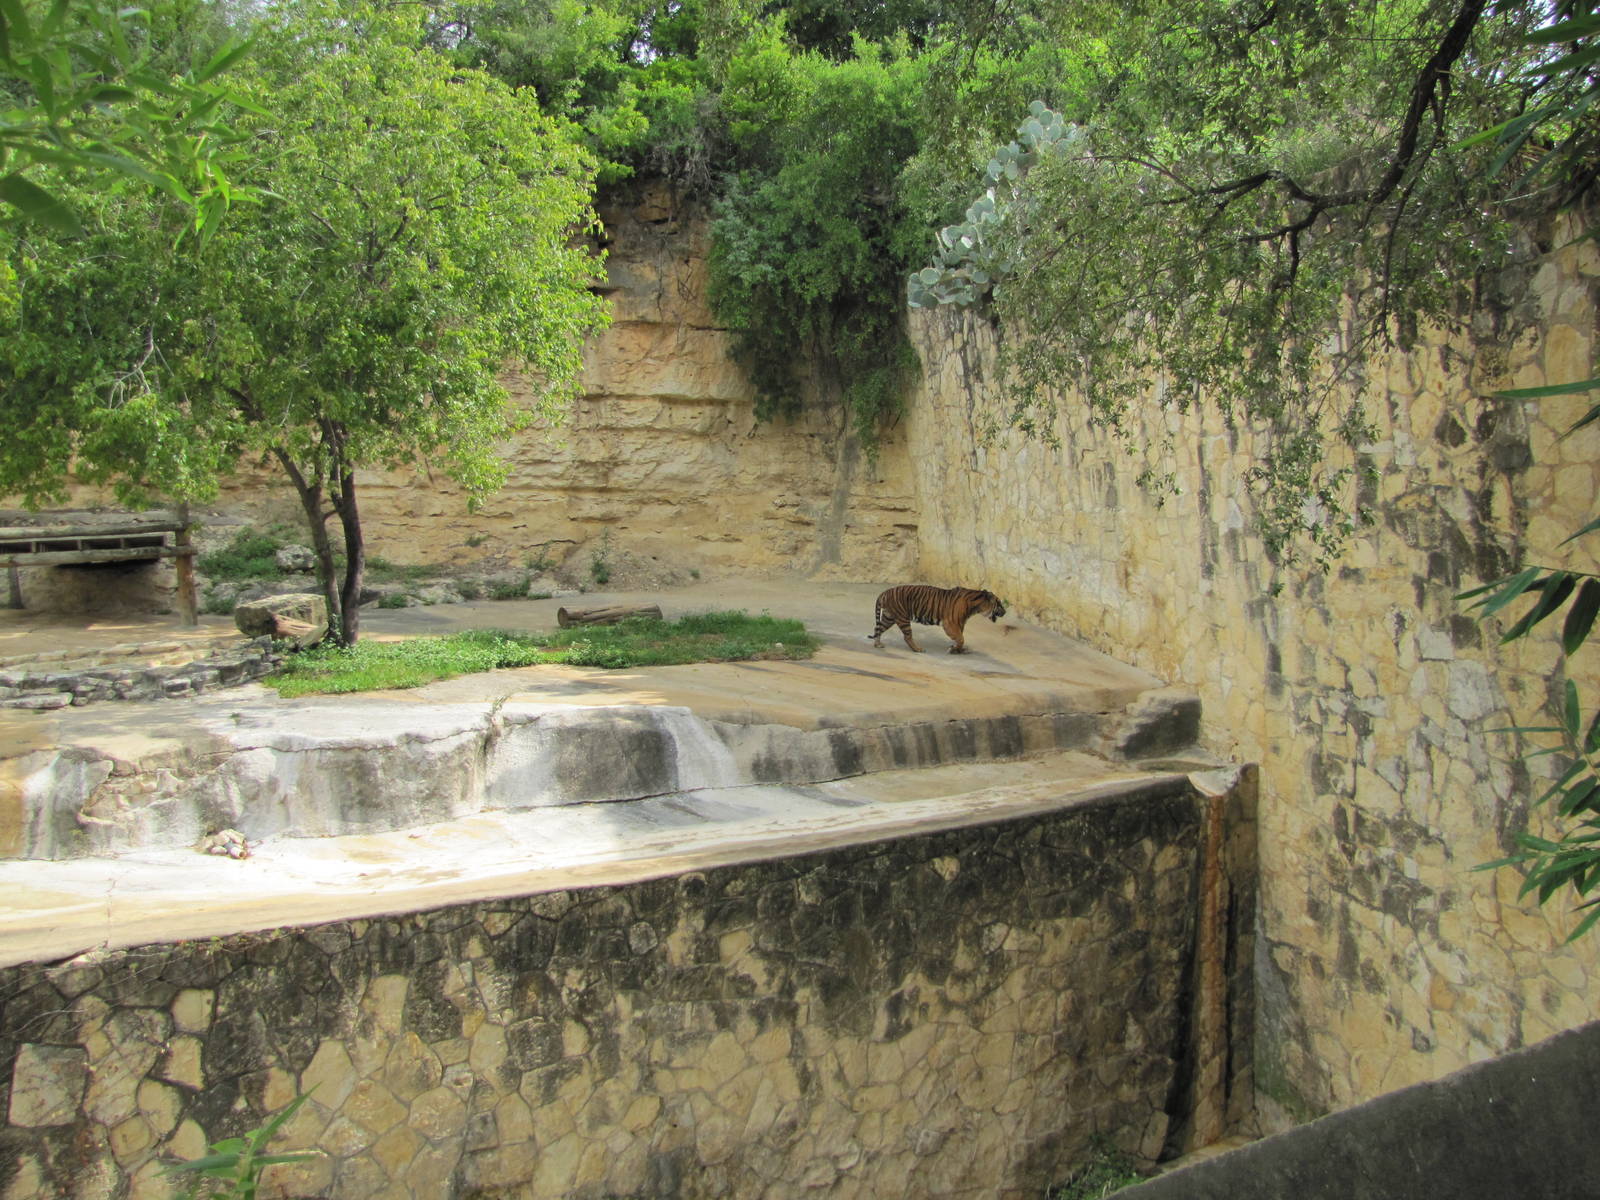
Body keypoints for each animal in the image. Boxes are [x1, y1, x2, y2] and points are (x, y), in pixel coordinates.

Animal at [868, 584, 1007, 654]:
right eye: (999, 604)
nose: (1005, 612)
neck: (975, 607)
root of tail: (885, 592)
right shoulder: (950, 624)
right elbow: (961, 638)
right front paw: (954, 649)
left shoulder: (959, 624)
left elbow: (960, 638)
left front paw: (959, 649)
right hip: (902, 618)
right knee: (907, 636)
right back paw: (918, 649)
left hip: (889, 617)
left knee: (877, 628)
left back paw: (878, 644)